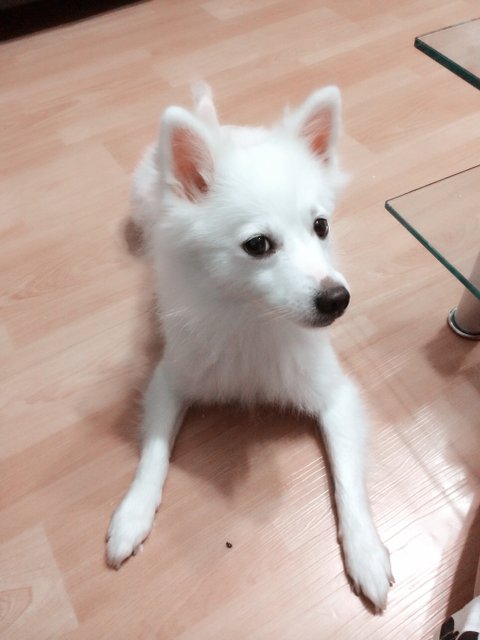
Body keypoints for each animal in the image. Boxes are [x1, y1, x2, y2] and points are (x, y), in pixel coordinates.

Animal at [106, 84, 393, 611]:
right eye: (258, 245)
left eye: (321, 227)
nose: (337, 299)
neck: (253, 318)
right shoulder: (169, 381)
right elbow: (153, 454)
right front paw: (132, 515)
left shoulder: (337, 398)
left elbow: (349, 484)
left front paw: (366, 552)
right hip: (142, 197)